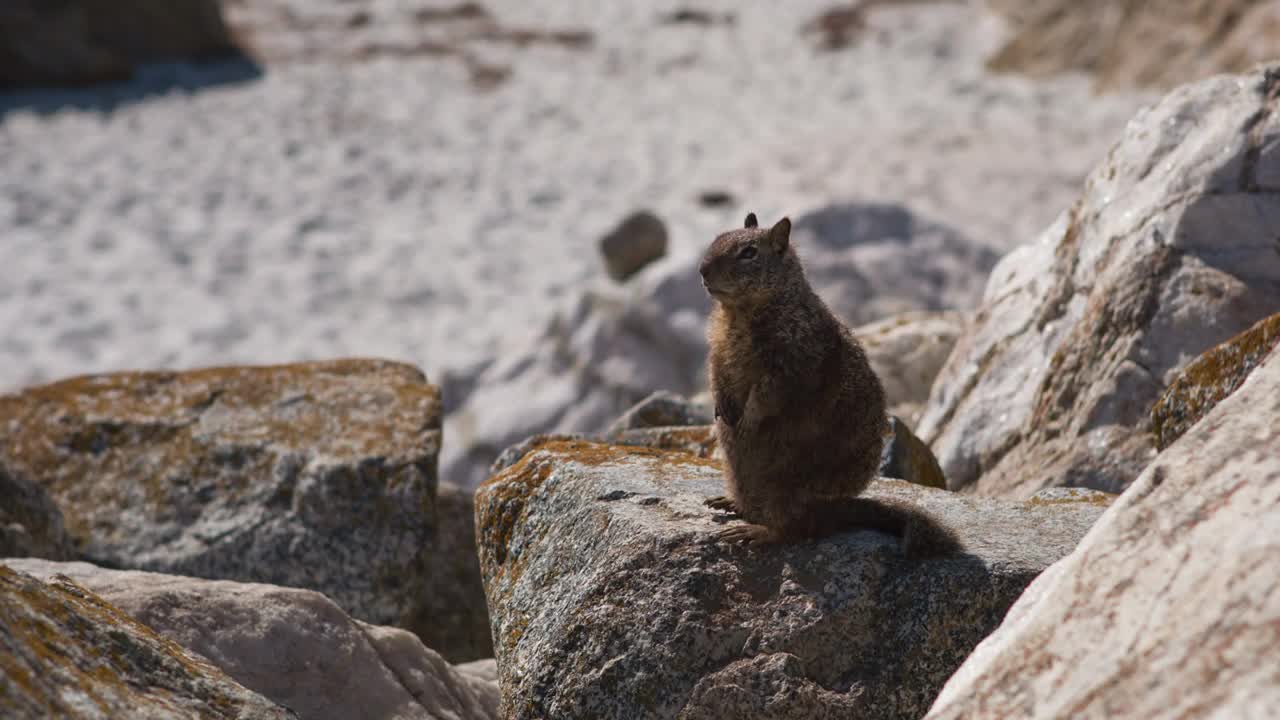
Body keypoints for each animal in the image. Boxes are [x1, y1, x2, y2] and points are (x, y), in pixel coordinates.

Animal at [701, 210, 962, 558]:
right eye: (717, 238)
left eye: (749, 252)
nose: (702, 270)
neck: (740, 312)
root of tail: (837, 509)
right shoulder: (717, 349)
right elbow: (716, 375)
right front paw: (721, 409)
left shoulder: (788, 358)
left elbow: (768, 393)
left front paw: (748, 421)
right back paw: (730, 502)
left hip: (788, 487)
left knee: (792, 530)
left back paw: (755, 531)